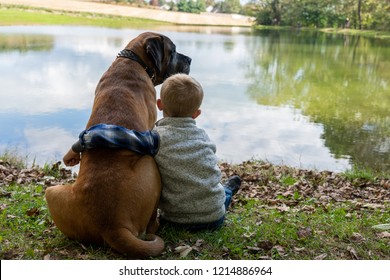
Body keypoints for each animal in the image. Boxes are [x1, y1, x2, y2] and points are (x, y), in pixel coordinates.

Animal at [45, 31, 191, 258]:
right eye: (173, 50)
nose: (190, 60)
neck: (133, 60)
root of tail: (112, 226)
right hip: (150, 164)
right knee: (150, 224)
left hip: (52, 191)